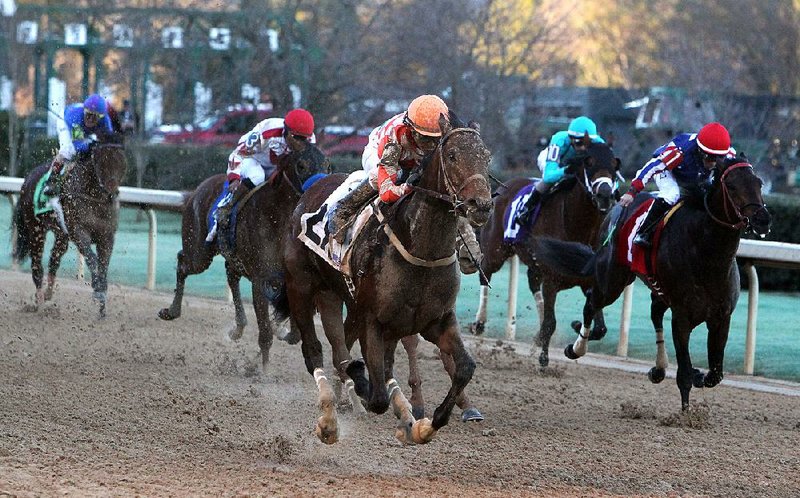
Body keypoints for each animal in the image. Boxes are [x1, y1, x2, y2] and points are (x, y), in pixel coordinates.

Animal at [13, 136, 129, 318]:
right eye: (100, 162)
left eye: (122, 162)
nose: (111, 195)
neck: (94, 199)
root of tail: (28, 179)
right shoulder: (79, 233)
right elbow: (92, 259)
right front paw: (97, 288)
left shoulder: (107, 237)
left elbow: (103, 266)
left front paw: (102, 308)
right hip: (36, 230)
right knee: (37, 268)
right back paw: (40, 304)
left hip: (61, 235)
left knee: (54, 260)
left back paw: (47, 294)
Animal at [282, 115, 494, 446]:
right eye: (452, 155)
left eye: (486, 157)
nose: (480, 205)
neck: (421, 249)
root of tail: (310, 190)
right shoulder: (372, 319)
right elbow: (376, 393)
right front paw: (365, 385)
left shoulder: (438, 321)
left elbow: (465, 367)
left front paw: (425, 425)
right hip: (301, 288)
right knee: (315, 352)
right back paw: (330, 419)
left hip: (334, 295)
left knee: (349, 349)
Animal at [468, 142, 620, 368]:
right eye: (589, 163)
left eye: (614, 165)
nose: (605, 194)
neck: (578, 226)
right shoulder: (551, 280)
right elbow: (551, 322)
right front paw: (544, 358)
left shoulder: (589, 281)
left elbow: (600, 329)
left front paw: (575, 328)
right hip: (497, 250)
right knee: (485, 273)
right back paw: (479, 322)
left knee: (532, 281)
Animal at [536, 159, 772, 408]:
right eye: (732, 186)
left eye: (759, 182)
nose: (762, 219)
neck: (708, 255)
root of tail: (613, 211)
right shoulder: (681, 317)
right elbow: (684, 374)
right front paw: (686, 412)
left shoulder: (721, 317)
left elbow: (715, 373)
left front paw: (698, 375)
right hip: (612, 280)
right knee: (592, 302)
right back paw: (576, 346)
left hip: (655, 287)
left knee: (655, 313)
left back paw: (658, 368)